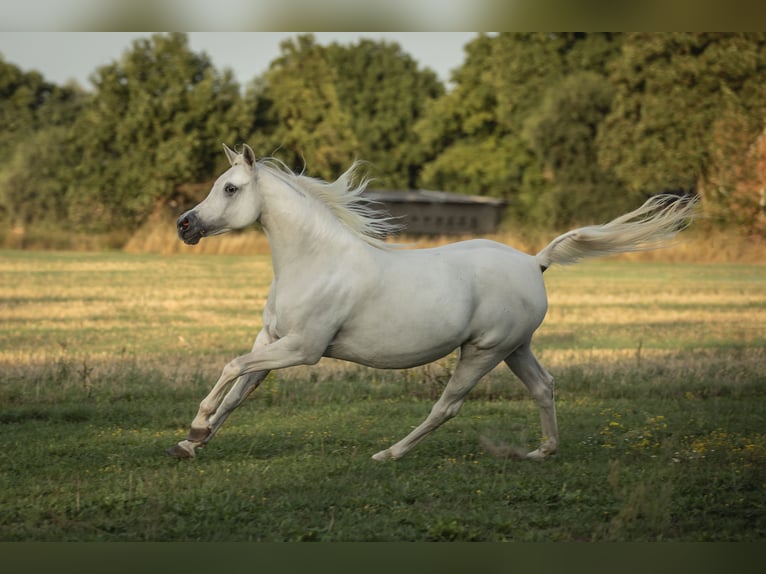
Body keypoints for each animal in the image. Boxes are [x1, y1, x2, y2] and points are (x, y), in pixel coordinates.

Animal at [167, 143, 697, 461]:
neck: (315, 262)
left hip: (483, 352)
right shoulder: (272, 340)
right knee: (544, 387)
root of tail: (535, 262)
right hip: (515, 348)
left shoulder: (303, 348)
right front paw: (193, 443)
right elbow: (239, 390)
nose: (184, 225)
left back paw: (390, 454)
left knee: (448, 406)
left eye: (230, 188)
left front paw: (195, 428)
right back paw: (542, 452)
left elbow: (231, 368)